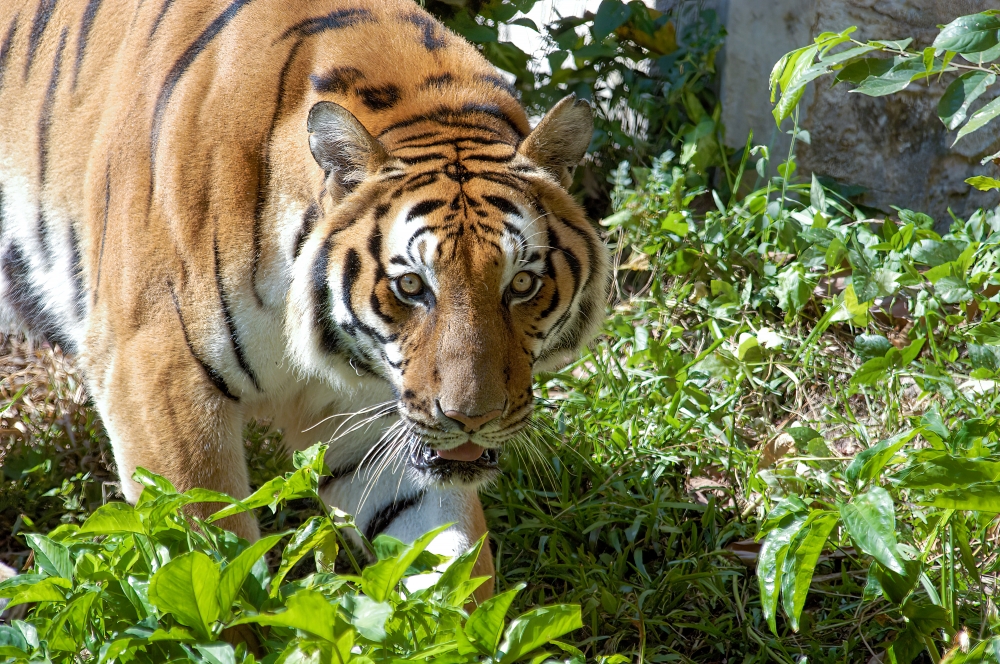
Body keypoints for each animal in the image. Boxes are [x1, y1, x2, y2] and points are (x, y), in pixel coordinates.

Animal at [0, 0, 608, 600]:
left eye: (522, 284)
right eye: (411, 286)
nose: (471, 419)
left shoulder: (369, 417)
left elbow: (455, 569)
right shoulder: (154, 377)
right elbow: (208, 562)